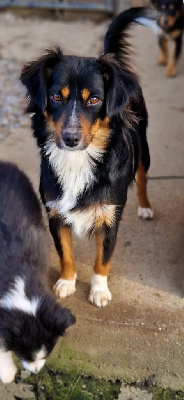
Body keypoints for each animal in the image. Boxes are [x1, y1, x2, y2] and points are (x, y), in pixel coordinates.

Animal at [20, 7, 155, 310]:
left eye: (94, 99)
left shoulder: (110, 216)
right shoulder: (55, 212)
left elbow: (102, 259)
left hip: (144, 148)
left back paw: (145, 207)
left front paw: (99, 291)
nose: (70, 138)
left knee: (142, 177)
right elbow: (66, 253)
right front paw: (66, 282)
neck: (79, 160)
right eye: (56, 96)